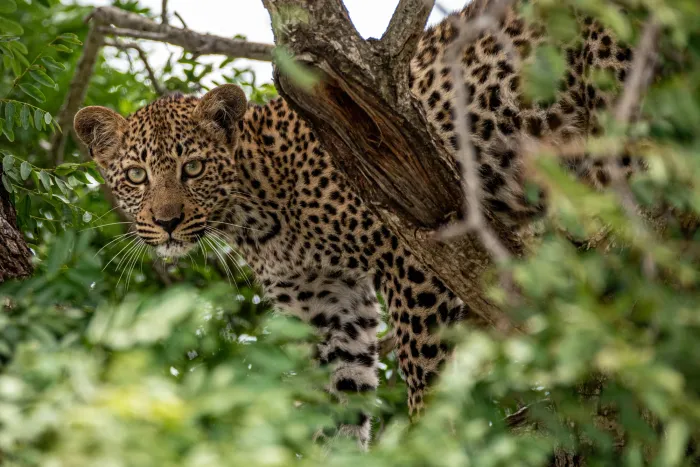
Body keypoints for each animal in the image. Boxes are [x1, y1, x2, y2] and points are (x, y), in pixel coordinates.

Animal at [73, 0, 642, 448]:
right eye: (136, 175)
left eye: (192, 169)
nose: (166, 222)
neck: (255, 214)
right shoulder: (326, 304)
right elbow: (339, 397)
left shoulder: (416, 254)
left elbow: (424, 369)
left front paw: (434, 438)